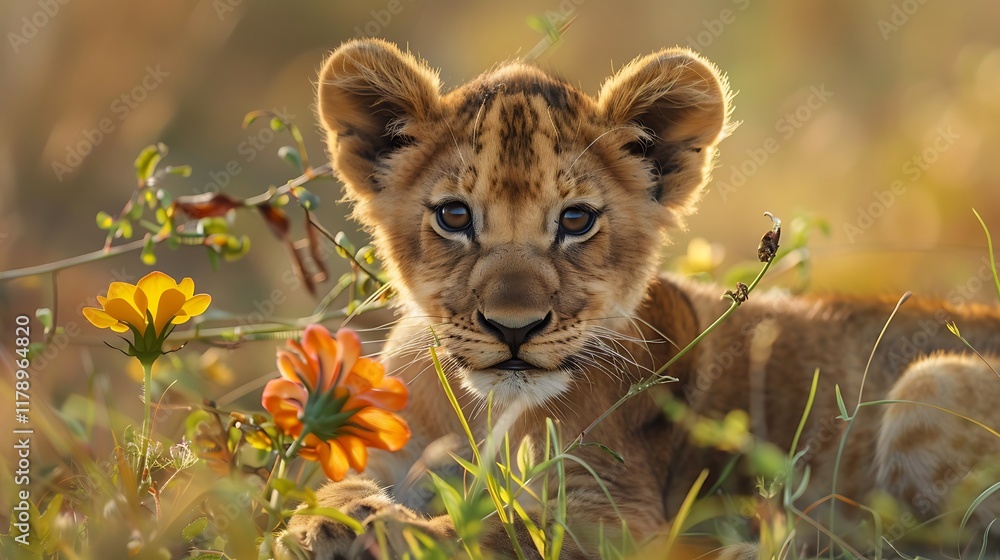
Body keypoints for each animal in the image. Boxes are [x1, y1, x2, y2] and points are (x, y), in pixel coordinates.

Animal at [277, 38, 1000, 558]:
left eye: (576, 221)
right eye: (454, 216)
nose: (514, 328)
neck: (483, 412)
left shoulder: (619, 519)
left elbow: (502, 530)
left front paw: (390, 533)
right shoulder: (388, 452)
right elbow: (334, 487)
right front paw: (330, 521)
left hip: (927, 384)